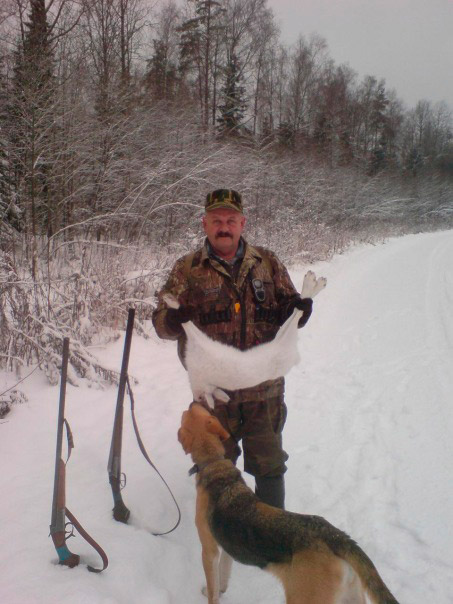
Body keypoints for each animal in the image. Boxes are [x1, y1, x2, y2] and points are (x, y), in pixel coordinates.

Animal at [165, 272, 324, 408]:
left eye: (200, 398)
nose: (198, 399)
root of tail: (293, 354)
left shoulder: (198, 348)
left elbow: (187, 325)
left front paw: (172, 303)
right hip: (281, 337)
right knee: (294, 317)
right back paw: (316, 285)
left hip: (284, 344)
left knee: (297, 315)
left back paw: (312, 284)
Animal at [178, 402, 398, 604]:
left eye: (186, 413)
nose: (193, 402)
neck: (214, 463)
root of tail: (336, 537)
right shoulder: (227, 548)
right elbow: (223, 578)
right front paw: (222, 590)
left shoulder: (209, 551)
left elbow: (213, 588)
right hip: (351, 596)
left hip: (304, 598)